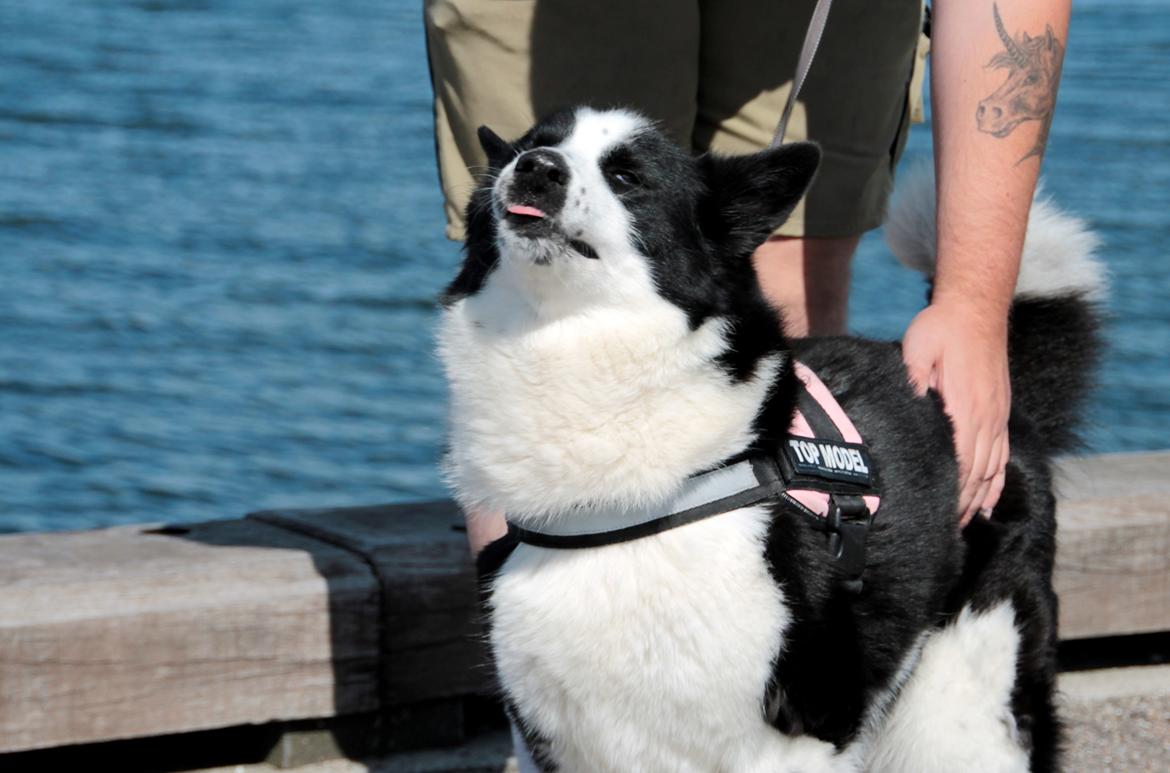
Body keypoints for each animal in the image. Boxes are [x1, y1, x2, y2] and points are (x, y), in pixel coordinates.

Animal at [439, 105, 1104, 767]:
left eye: (627, 177)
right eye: (528, 146)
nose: (535, 168)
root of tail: (1003, 407)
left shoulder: (795, 732)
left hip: (962, 706)